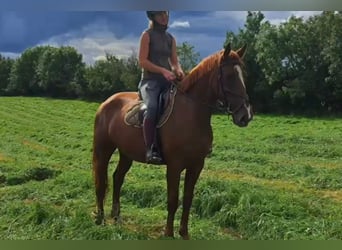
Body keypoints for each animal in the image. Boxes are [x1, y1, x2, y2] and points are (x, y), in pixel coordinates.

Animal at [92, 44, 252, 239]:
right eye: (229, 76)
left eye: (243, 75)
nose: (245, 115)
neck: (191, 113)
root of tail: (106, 102)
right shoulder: (174, 166)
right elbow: (173, 199)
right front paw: (168, 233)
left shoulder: (196, 165)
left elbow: (188, 198)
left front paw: (184, 233)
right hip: (103, 149)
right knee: (101, 181)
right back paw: (100, 219)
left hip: (126, 153)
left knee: (117, 178)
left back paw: (116, 216)